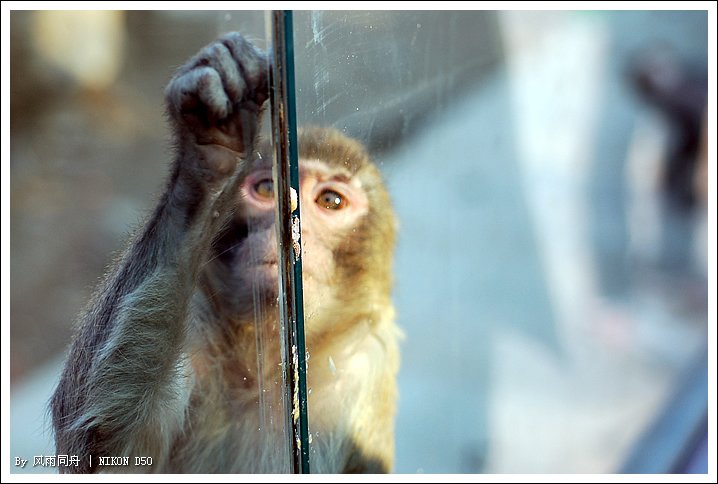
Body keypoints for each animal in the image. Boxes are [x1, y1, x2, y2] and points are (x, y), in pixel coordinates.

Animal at [49, 30, 400, 472]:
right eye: (267, 188)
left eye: (331, 202)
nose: (289, 227)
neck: (263, 370)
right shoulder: (197, 323)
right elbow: (101, 446)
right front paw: (211, 149)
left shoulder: (364, 366)